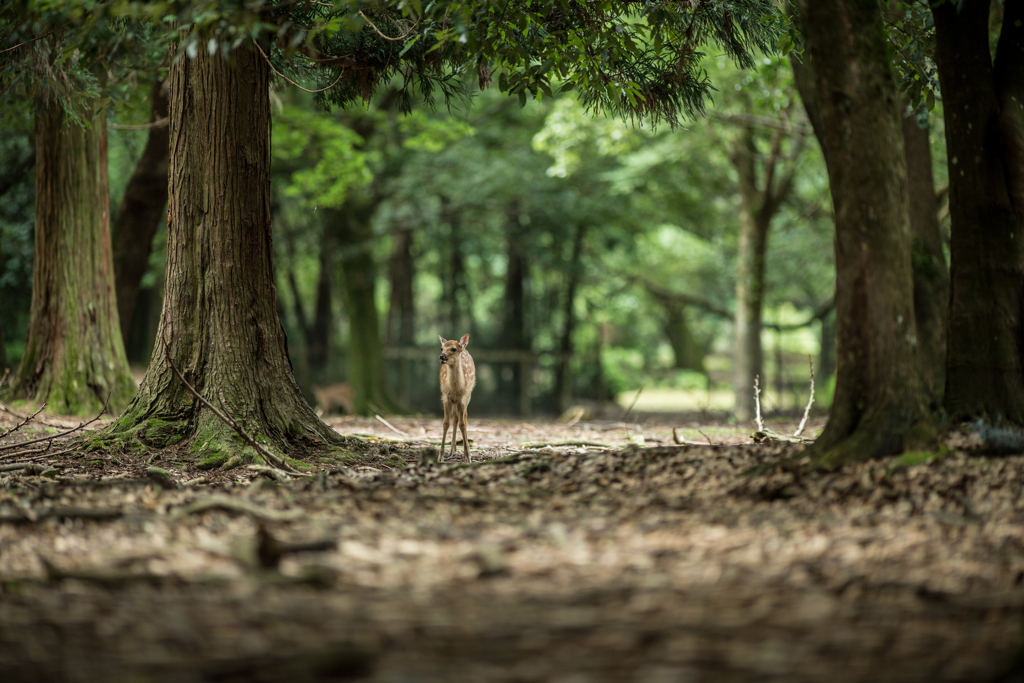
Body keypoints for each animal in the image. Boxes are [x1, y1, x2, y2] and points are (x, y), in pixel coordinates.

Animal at [436, 333, 475, 462]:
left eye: (453, 349)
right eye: (441, 348)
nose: (442, 356)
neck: (455, 389)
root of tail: (465, 348)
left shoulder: (463, 398)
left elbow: (463, 424)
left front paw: (467, 457)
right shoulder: (446, 397)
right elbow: (445, 423)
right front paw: (440, 456)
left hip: (468, 395)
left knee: (464, 419)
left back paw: (465, 451)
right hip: (454, 402)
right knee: (455, 419)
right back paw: (452, 450)